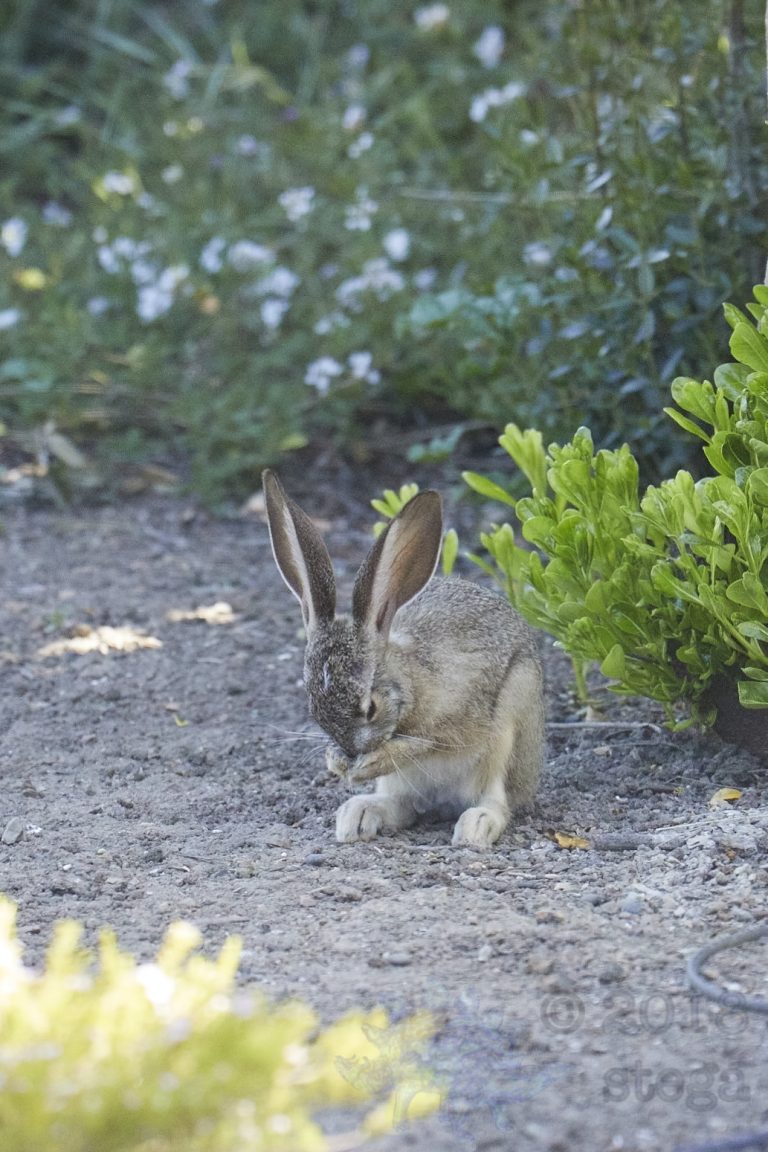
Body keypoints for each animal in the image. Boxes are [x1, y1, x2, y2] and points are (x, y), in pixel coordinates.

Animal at [262, 469, 544, 848]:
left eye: (370, 708)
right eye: (311, 703)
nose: (350, 751)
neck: (408, 680)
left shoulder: (463, 721)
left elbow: (425, 745)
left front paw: (373, 761)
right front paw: (335, 763)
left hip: (513, 714)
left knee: (495, 798)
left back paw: (477, 826)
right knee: (402, 805)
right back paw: (358, 815)